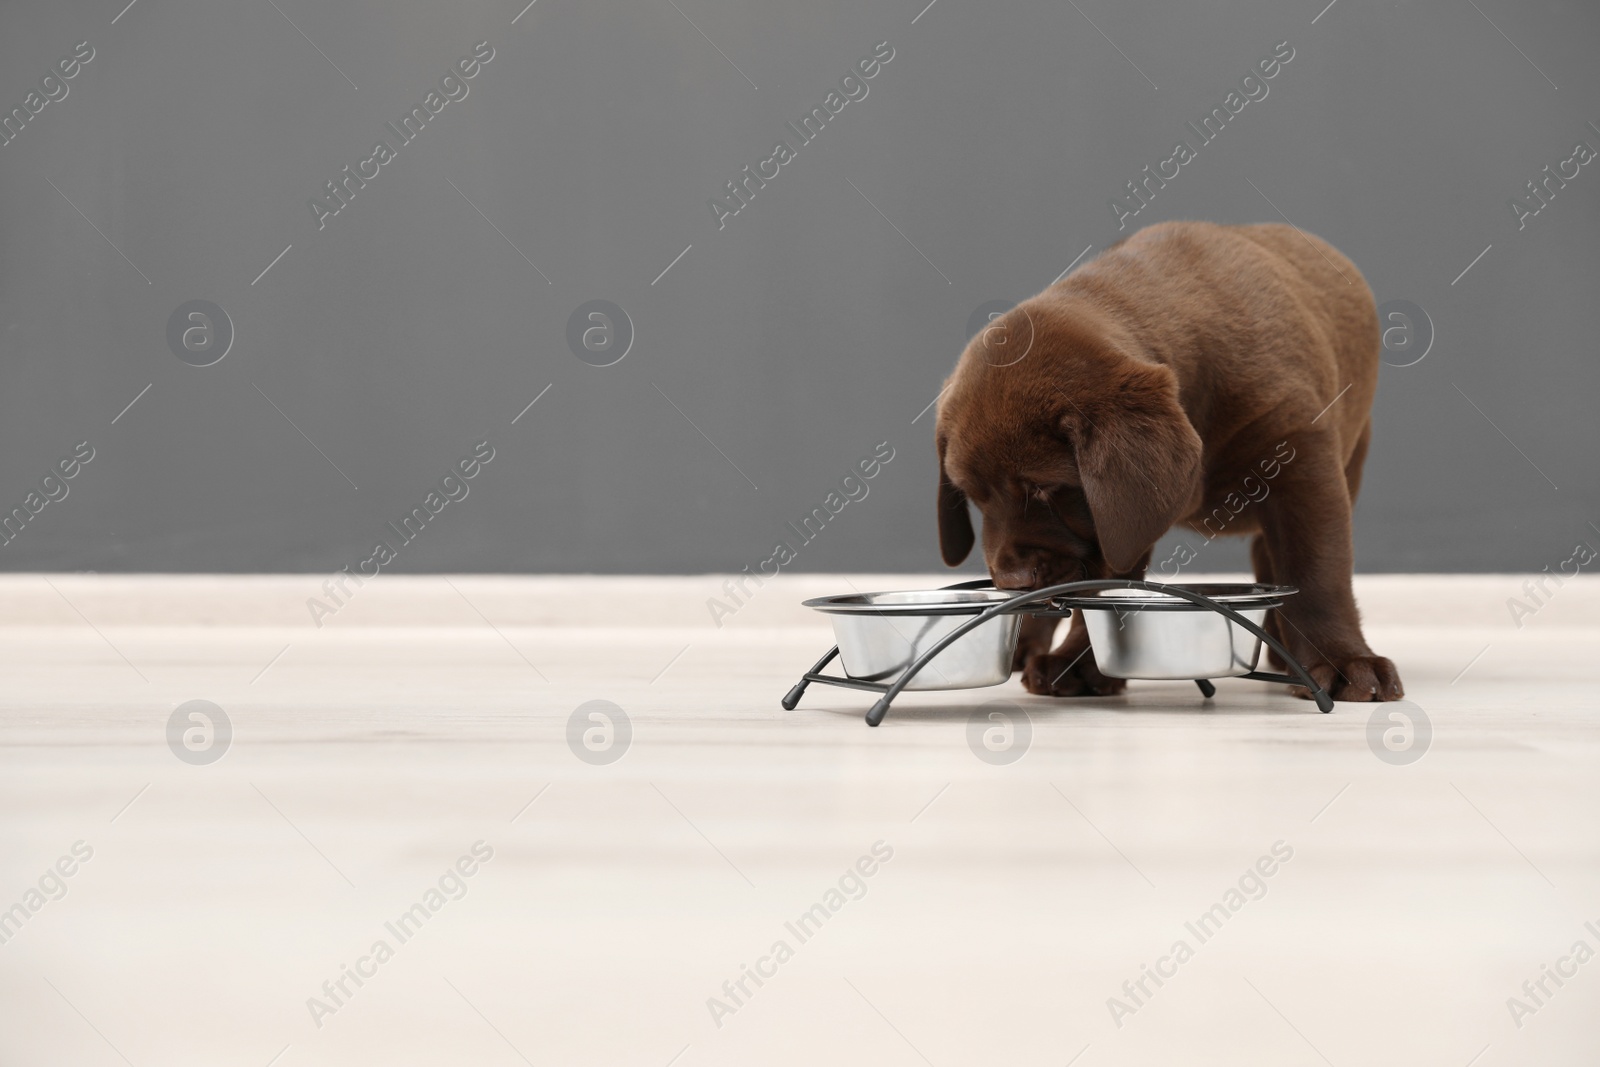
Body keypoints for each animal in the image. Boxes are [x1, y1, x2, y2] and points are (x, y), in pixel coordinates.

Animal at [934, 220, 1401, 703]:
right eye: (973, 497)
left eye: (1045, 489)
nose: (1012, 580)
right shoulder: (1118, 521)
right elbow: (1103, 592)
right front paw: (1080, 660)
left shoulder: (1300, 459)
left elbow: (1316, 572)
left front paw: (1343, 660)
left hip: (1352, 453)